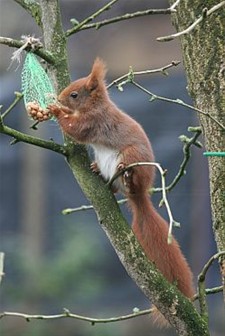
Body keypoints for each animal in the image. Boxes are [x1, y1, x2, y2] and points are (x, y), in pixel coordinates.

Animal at [48, 58, 194, 302]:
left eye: (75, 95)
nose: (59, 99)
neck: (95, 106)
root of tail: (139, 194)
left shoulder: (94, 121)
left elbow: (76, 129)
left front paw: (57, 112)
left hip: (131, 156)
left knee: (130, 178)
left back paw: (127, 178)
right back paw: (98, 170)